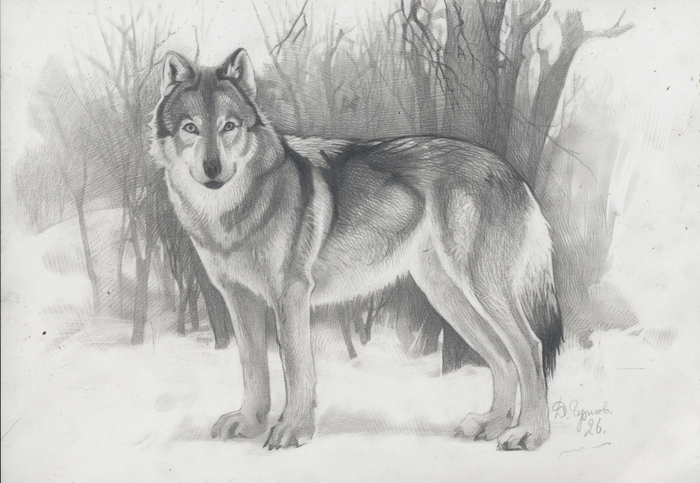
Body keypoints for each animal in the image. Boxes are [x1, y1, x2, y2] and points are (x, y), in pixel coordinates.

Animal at [151, 48, 563, 451]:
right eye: (190, 128)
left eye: (229, 126)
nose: (212, 167)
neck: (232, 212)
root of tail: (510, 171)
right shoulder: (239, 297)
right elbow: (253, 369)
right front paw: (249, 424)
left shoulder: (291, 295)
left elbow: (297, 369)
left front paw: (293, 430)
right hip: (448, 296)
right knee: (501, 355)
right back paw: (490, 424)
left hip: (482, 290)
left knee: (530, 347)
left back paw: (529, 434)